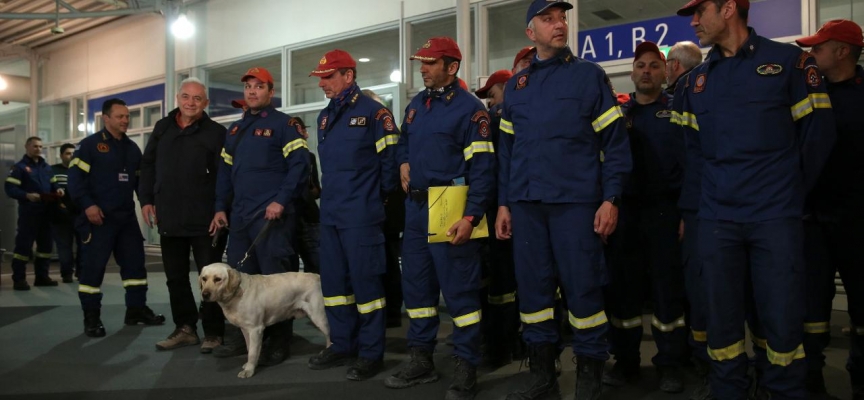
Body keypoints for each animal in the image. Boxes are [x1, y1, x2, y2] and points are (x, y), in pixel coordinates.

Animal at [200, 262, 330, 378]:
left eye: (218, 279)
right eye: (204, 278)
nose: (204, 294)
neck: (237, 293)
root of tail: (318, 277)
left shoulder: (255, 329)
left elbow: (253, 352)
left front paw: (249, 371)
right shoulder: (246, 329)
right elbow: (249, 348)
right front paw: (250, 365)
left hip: (319, 316)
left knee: (330, 336)